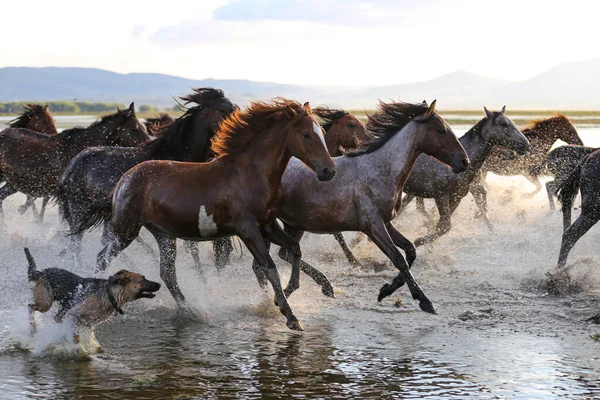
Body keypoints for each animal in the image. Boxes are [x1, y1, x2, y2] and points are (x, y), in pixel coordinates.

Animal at [25, 247, 159, 350]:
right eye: (143, 279)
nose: (159, 284)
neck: (110, 295)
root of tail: (41, 272)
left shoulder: (88, 325)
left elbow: (88, 337)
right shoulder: (73, 315)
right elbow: (76, 337)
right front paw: (77, 348)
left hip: (60, 308)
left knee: (55, 317)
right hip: (45, 303)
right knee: (30, 306)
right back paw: (33, 329)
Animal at [96, 98, 336, 330]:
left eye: (322, 133)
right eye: (306, 134)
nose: (329, 171)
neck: (251, 174)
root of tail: (123, 180)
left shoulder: (268, 225)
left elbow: (294, 249)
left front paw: (288, 294)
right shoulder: (248, 230)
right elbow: (270, 268)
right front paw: (290, 316)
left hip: (163, 234)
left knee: (168, 273)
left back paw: (189, 309)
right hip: (126, 229)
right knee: (102, 258)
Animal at [258, 98, 468, 314]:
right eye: (441, 130)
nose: (464, 161)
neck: (381, 169)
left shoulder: (386, 223)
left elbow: (410, 250)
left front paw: (386, 290)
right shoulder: (373, 227)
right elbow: (399, 259)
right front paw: (423, 301)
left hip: (294, 224)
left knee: (282, 255)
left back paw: (305, 290)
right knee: (265, 263)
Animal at [398, 108, 528, 247]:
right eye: (504, 124)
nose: (525, 144)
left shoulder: (457, 197)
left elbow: (442, 226)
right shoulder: (441, 196)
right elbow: (445, 225)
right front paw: (418, 241)